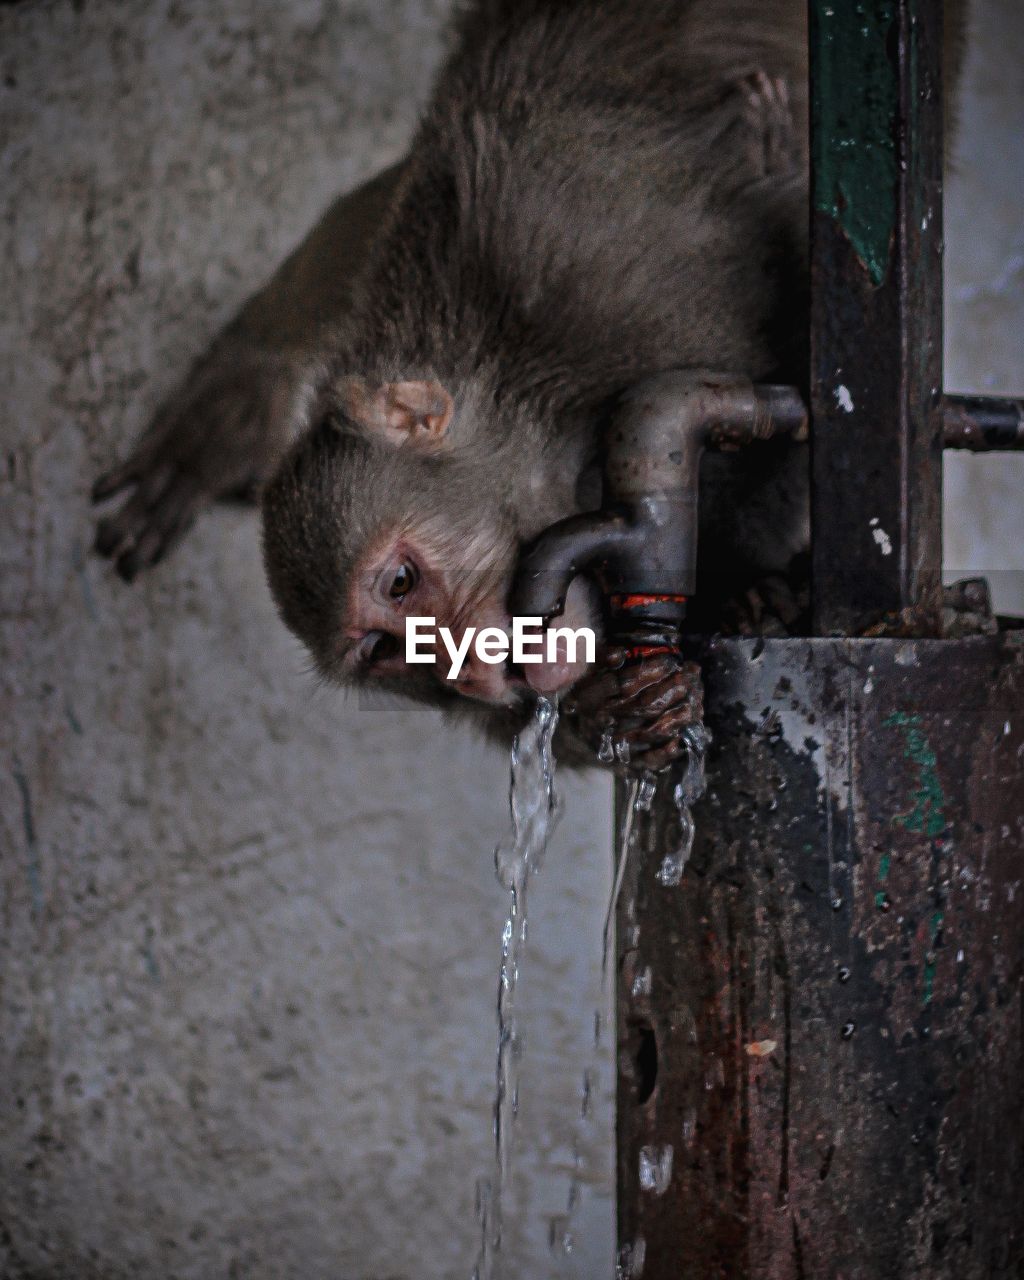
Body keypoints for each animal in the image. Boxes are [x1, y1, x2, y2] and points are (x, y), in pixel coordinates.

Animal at [92, 0, 972, 768]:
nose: (476, 673)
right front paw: (618, 711)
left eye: (402, 581)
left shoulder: (596, 259)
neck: (543, 411)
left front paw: (751, 587)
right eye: (384, 650)